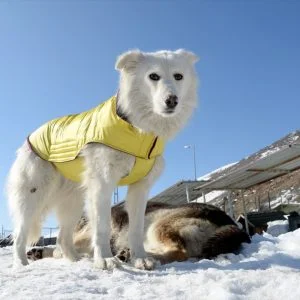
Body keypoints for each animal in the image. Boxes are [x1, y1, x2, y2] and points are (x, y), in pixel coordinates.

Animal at [6, 49, 199, 270]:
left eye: (178, 76)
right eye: (153, 76)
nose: (172, 100)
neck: (137, 128)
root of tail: (30, 137)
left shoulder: (140, 188)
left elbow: (136, 228)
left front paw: (140, 258)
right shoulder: (102, 184)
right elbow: (102, 227)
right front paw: (106, 259)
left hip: (73, 201)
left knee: (62, 237)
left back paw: (76, 261)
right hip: (34, 196)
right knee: (20, 235)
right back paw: (21, 264)